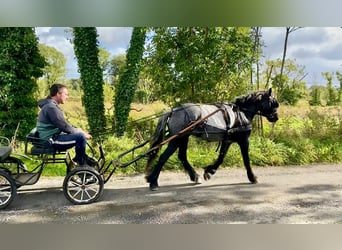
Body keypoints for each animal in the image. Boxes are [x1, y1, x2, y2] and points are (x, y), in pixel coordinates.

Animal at [144, 89, 278, 190]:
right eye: (273, 103)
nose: (276, 117)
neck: (241, 113)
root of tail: (173, 111)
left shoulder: (227, 140)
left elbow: (221, 157)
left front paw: (209, 171)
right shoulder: (244, 140)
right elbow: (246, 160)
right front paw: (252, 177)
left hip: (184, 137)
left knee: (182, 156)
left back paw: (194, 176)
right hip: (177, 138)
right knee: (164, 157)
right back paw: (153, 182)